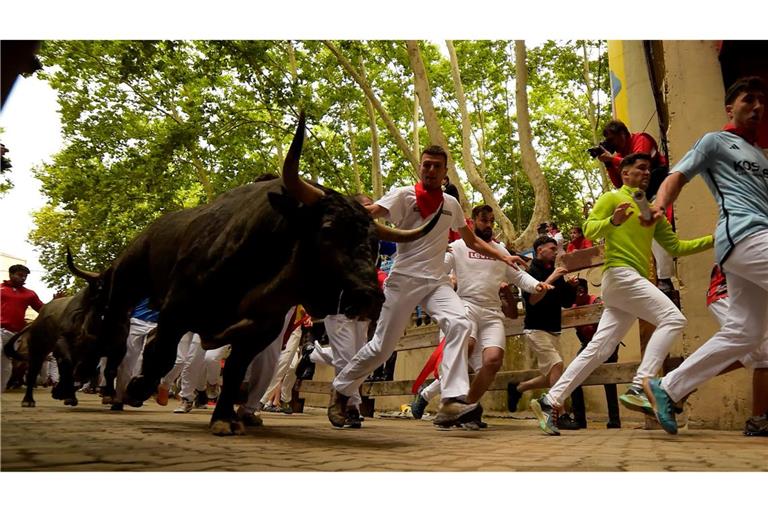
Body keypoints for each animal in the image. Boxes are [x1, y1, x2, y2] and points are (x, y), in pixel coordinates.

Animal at [75, 113, 440, 436]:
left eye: (374, 244)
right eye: (327, 230)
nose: (369, 297)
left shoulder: (260, 331)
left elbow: (235, 372)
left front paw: (224, 418)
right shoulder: (177, 309)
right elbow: (163, 352)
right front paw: (139, 388)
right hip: (125, 285)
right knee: (118, 340)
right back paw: (111, 388)